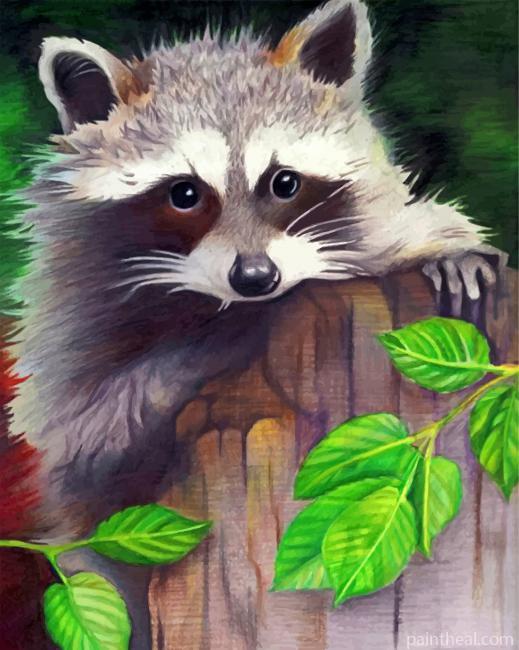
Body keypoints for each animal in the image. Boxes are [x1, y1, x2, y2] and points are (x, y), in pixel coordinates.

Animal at [8, 0, 502, 641]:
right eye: (185, 194)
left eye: (284, 183)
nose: (255, 278)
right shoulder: (70, 332)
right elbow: (98, 423)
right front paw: (224, 337)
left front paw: (446, 248)